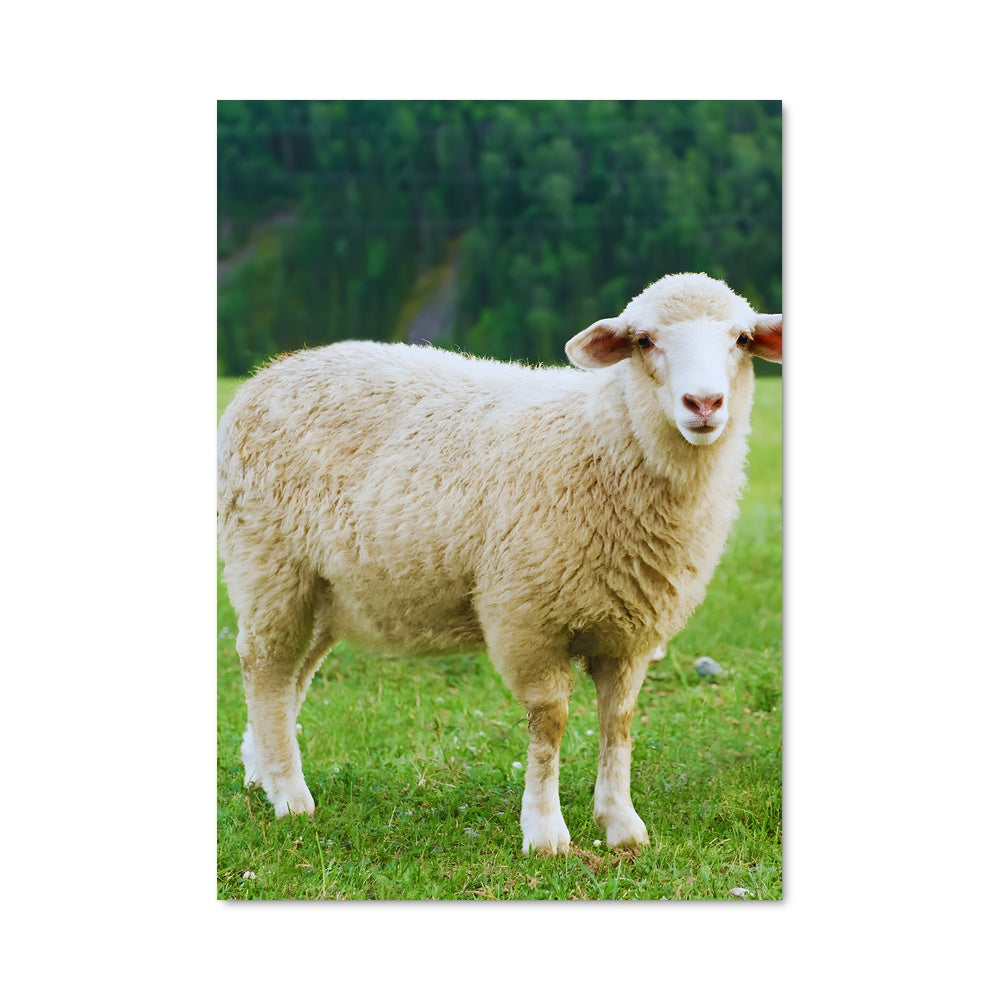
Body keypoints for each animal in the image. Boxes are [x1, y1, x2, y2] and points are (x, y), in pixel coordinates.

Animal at [217, 271, 782, 856]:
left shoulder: (631, 633)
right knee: (265, 668)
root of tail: (270, 372)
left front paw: (621, 824)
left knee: (292, 677)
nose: (704, 403)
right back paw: (289, 796)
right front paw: (546, 832)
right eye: (644, 340)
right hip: (268, 565)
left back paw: (261, 770)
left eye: (742, 339)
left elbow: (618, 722)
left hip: (326, 591)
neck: (601, 442)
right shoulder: (526, 617)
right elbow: (550, 722)